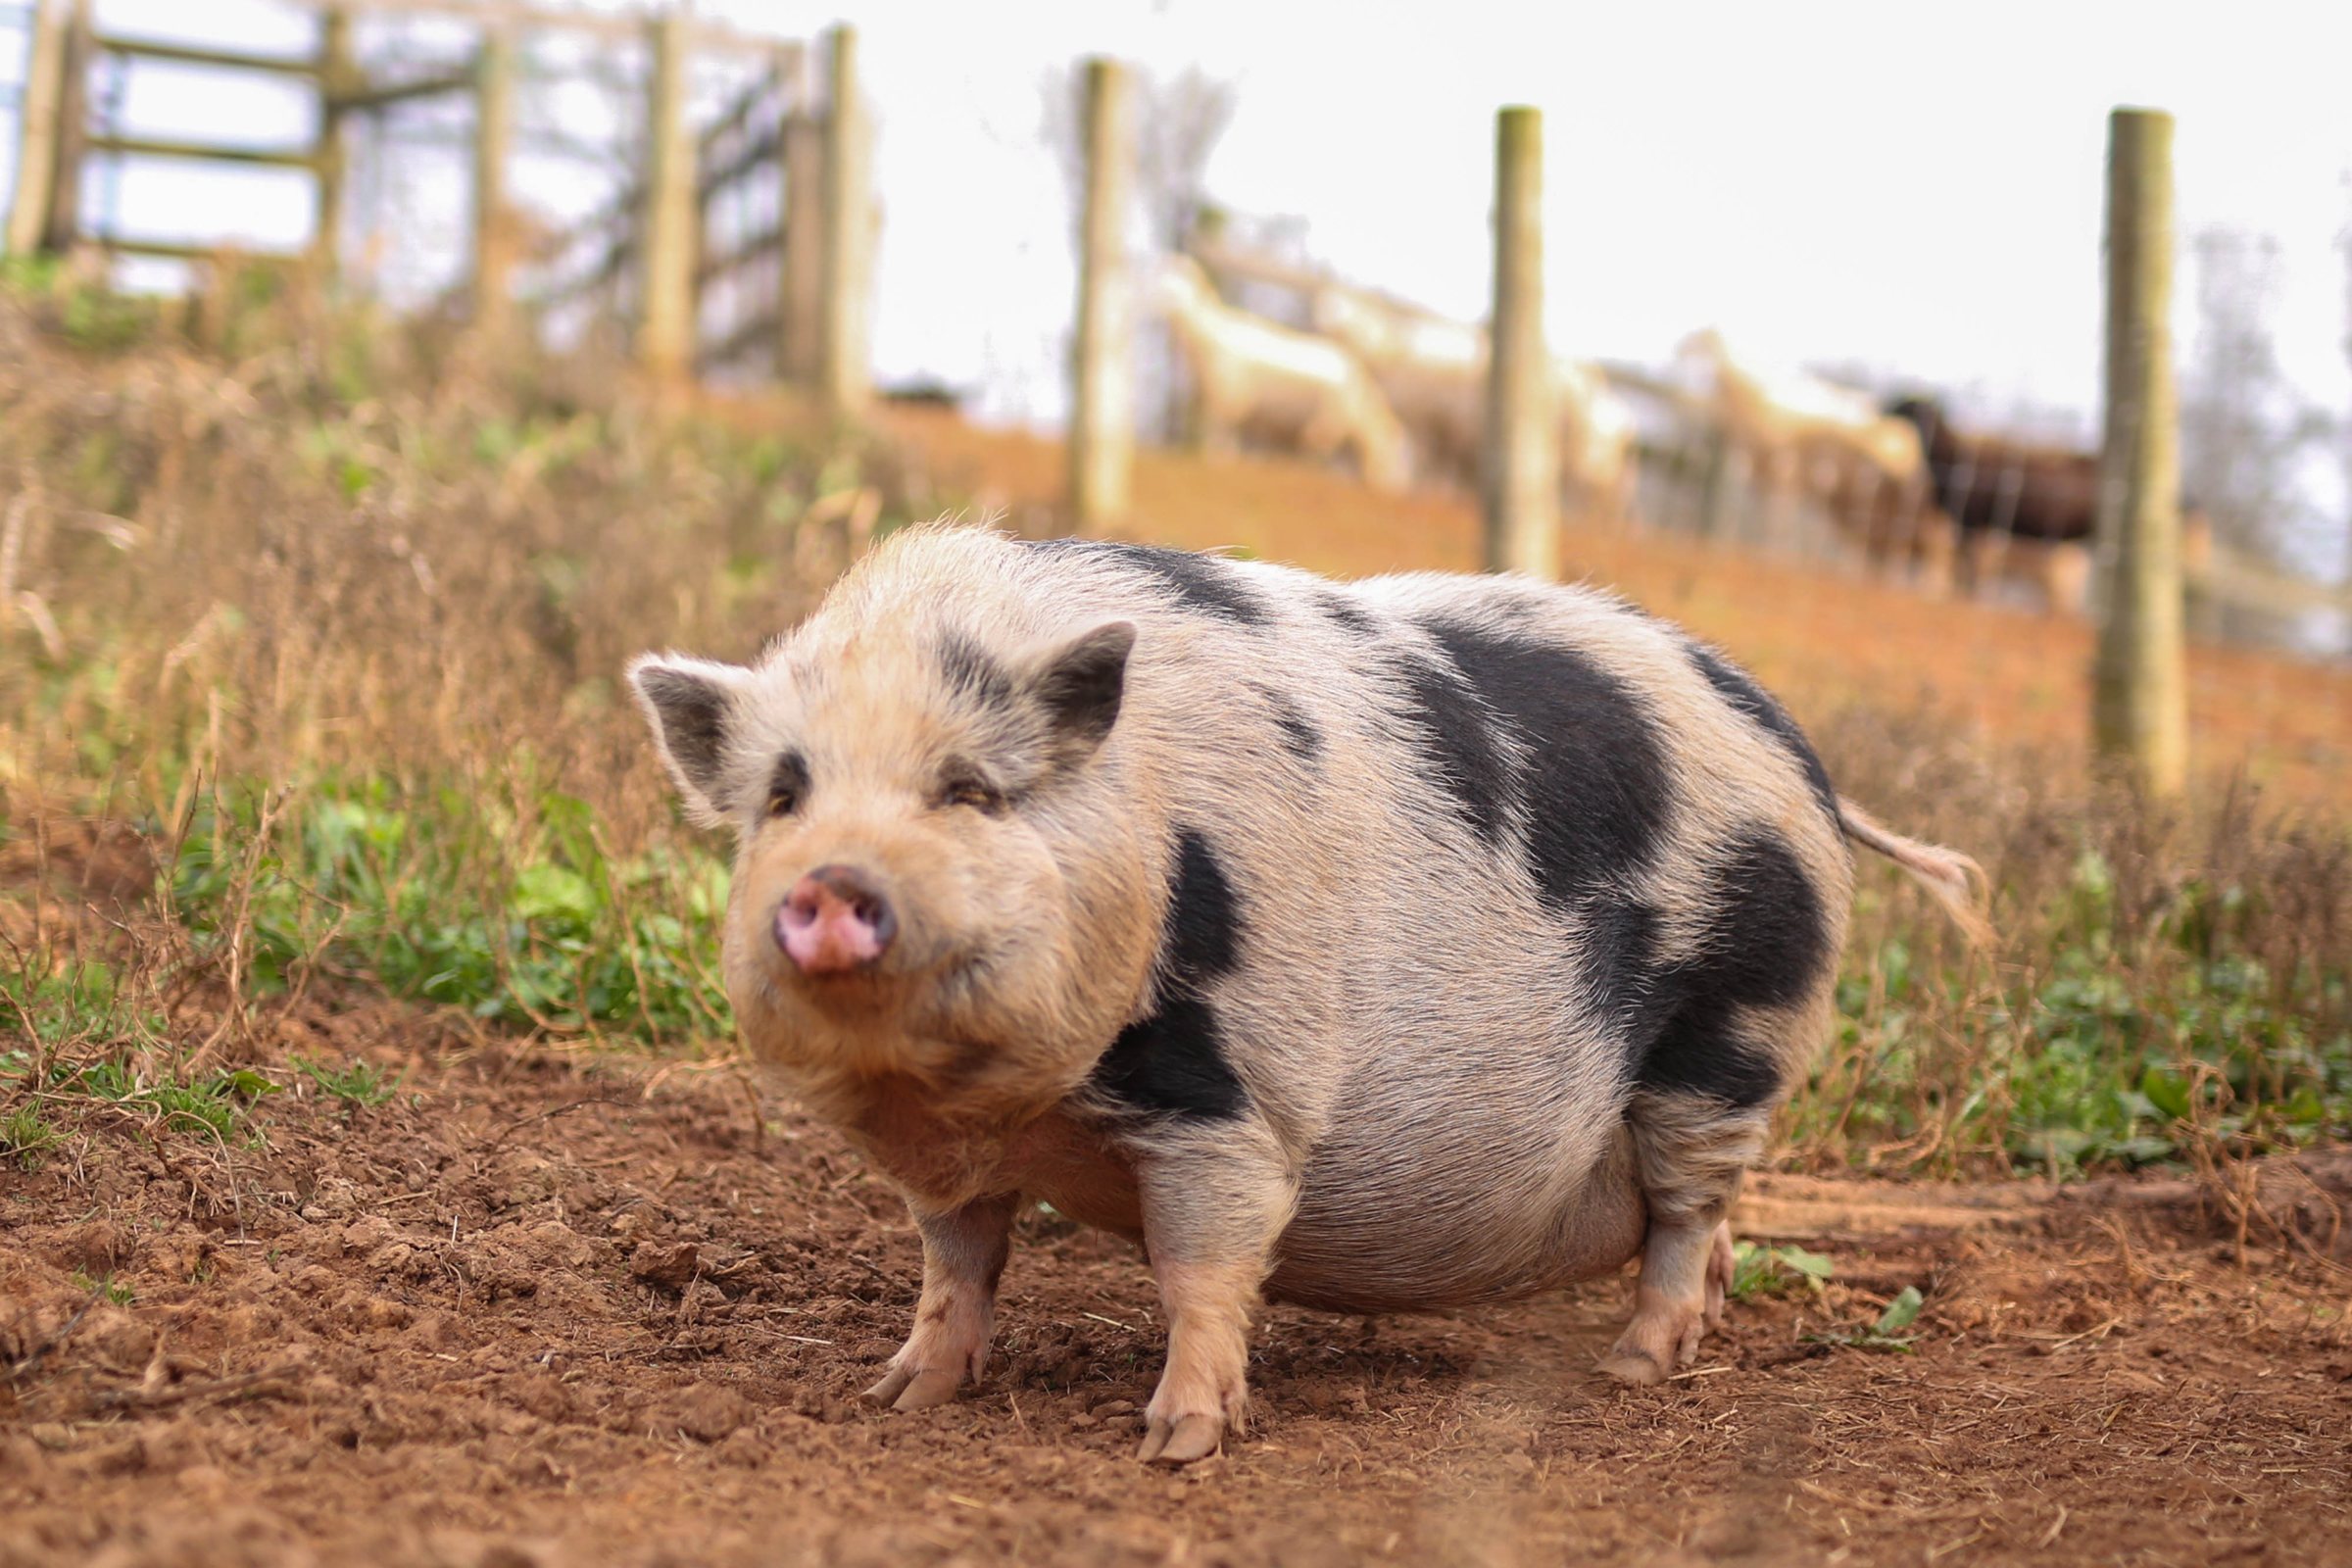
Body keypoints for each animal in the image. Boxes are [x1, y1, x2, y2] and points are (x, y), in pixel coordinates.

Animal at [628, 523, 1986, 1465]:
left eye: (970, 790)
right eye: (785, 795)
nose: (832, 887)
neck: (1014, 1099)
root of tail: (1804, 764)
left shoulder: (1234, 1088)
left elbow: (1204, 1263)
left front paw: (1175, 1443)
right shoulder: (946, 1156)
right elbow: (956, 1259)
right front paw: (898, 1393)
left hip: (1734, 1025)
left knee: (1693, 1205)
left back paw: (1634, 1368)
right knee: (1694, 1223)